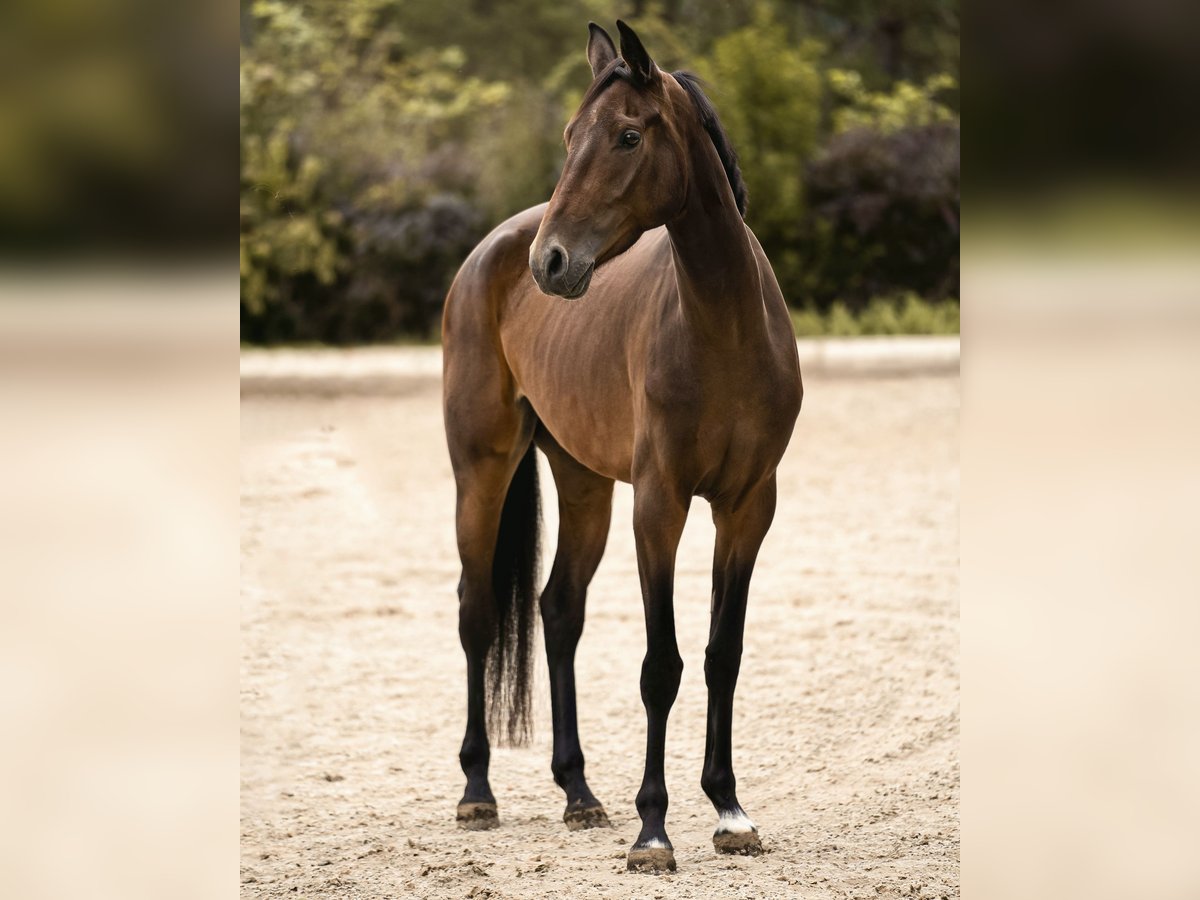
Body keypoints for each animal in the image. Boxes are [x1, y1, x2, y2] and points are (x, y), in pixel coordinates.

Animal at [444, 19, 806, 873]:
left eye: (628, 136)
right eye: (571, 136)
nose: (551, 263)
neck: (724, 329)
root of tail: (492, 250)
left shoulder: (748, 509)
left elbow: (721, 654)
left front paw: (729, 811)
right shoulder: (661, 507)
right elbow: (660, 666)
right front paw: (654, 831)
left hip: (583, 486)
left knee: (557, 610)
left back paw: (579, 793)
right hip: (480, 473)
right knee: (478, 611)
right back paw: (477, 791)